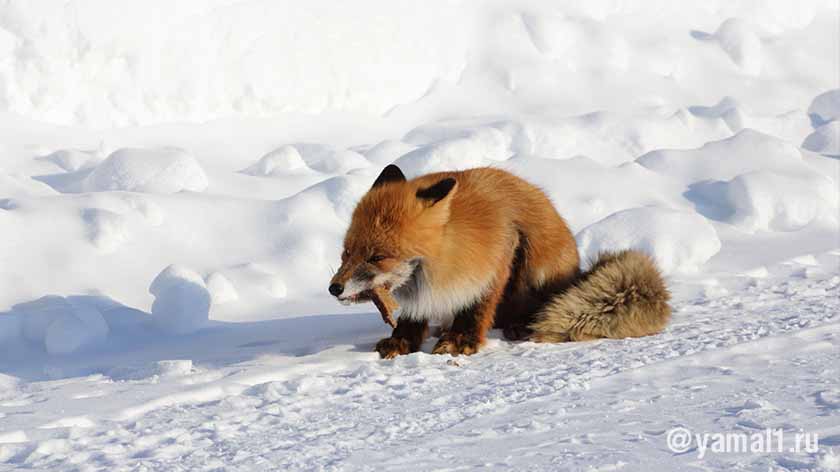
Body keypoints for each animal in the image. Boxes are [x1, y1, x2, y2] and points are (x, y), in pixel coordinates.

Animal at [328, 166, 668, 358]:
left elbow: (476, 308)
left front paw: (461, 340)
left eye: (377, 257)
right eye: (346, 252)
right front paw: (403, 341)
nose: (334, 288)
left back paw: (518, 325)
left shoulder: (501, 253)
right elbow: (414, 316)